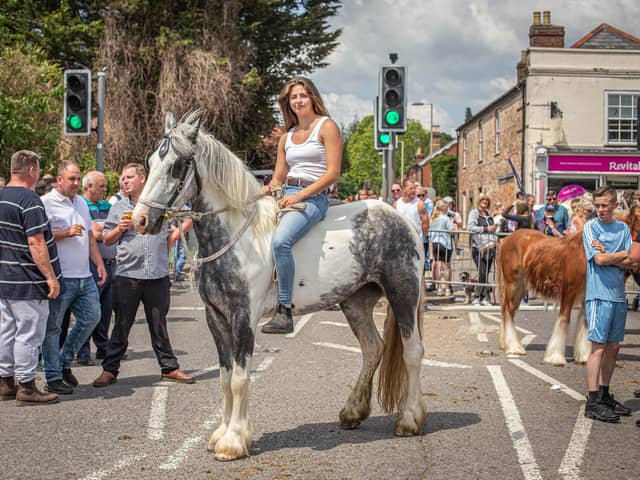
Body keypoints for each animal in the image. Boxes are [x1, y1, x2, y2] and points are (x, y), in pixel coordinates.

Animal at [496, 231, 592, 366]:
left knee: (508, 311)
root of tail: (505, 240)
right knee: (508, 311)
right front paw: (555, 357)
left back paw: (505, 343)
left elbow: (584, 324)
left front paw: (583, 357)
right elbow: (563, 320)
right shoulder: (568, 292)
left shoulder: (586, 297)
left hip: (520, 288)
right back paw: (514, 348)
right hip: (512, 284)